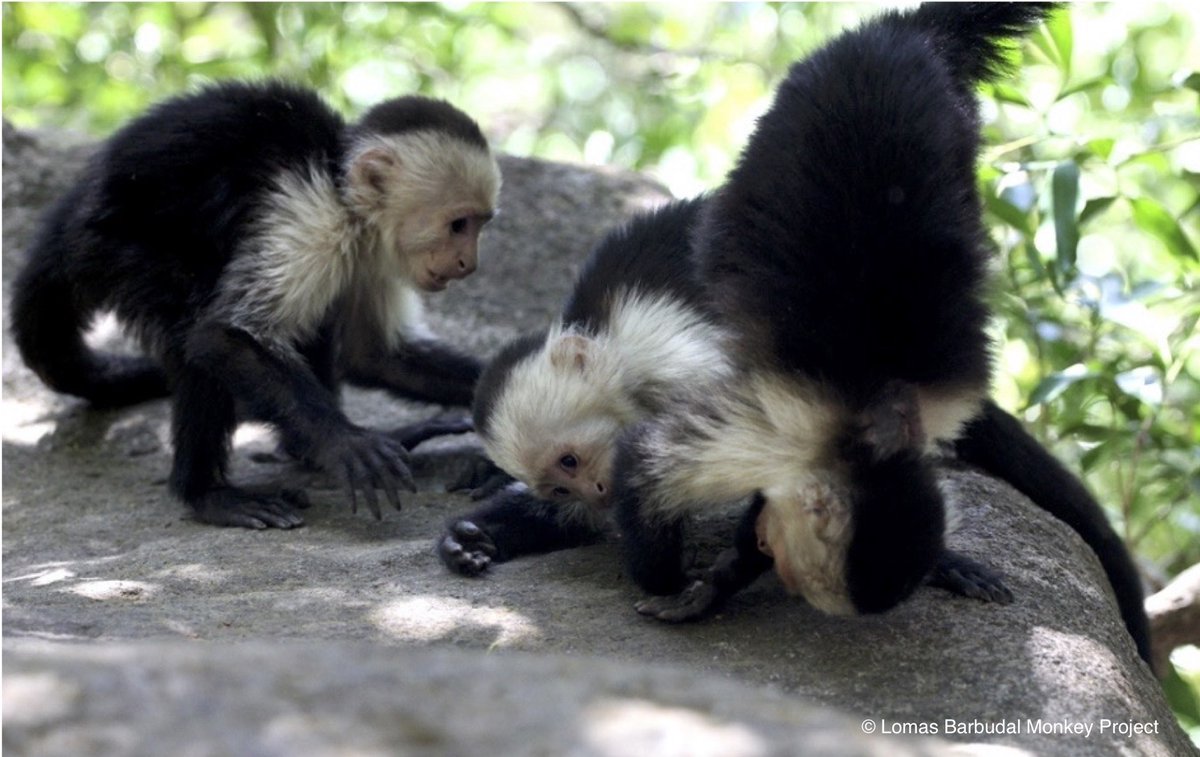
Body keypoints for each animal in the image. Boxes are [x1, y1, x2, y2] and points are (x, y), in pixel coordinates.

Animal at [10, 80, 501, 530]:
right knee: (190, 332)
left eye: (481, 225)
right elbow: (222, 335)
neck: (345, 199)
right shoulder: (312, 218)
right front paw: (342, 440)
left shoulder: (374, 254)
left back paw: (309, 452)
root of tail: (67, 215)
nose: (469, 264)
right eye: (458, 225)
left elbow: (375, 354)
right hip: (113, 249)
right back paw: (207, 494)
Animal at [613, 2, 1150, 665]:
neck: (875, 424)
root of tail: (902, 30)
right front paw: (689, 585)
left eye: (780, 557)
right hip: (803, 90)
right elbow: (642, 463)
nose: (766, 557)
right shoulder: (780, 426)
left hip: (955, 118)